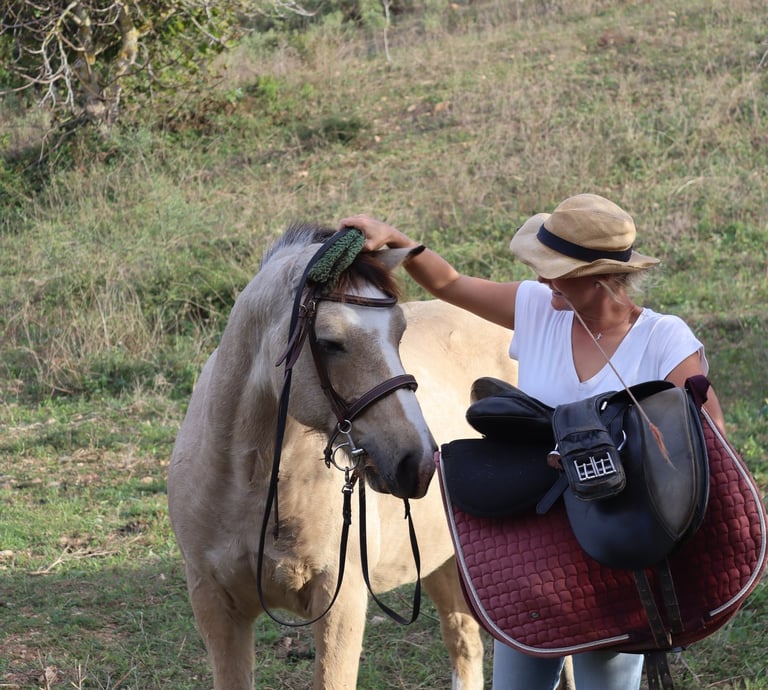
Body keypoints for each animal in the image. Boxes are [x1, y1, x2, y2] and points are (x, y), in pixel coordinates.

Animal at [167, 223, 518, 690]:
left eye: (399, 332)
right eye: (330, 343)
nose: (418, 463)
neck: (251, 484)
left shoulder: (341, 604)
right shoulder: (215, 606)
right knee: (465, 645)